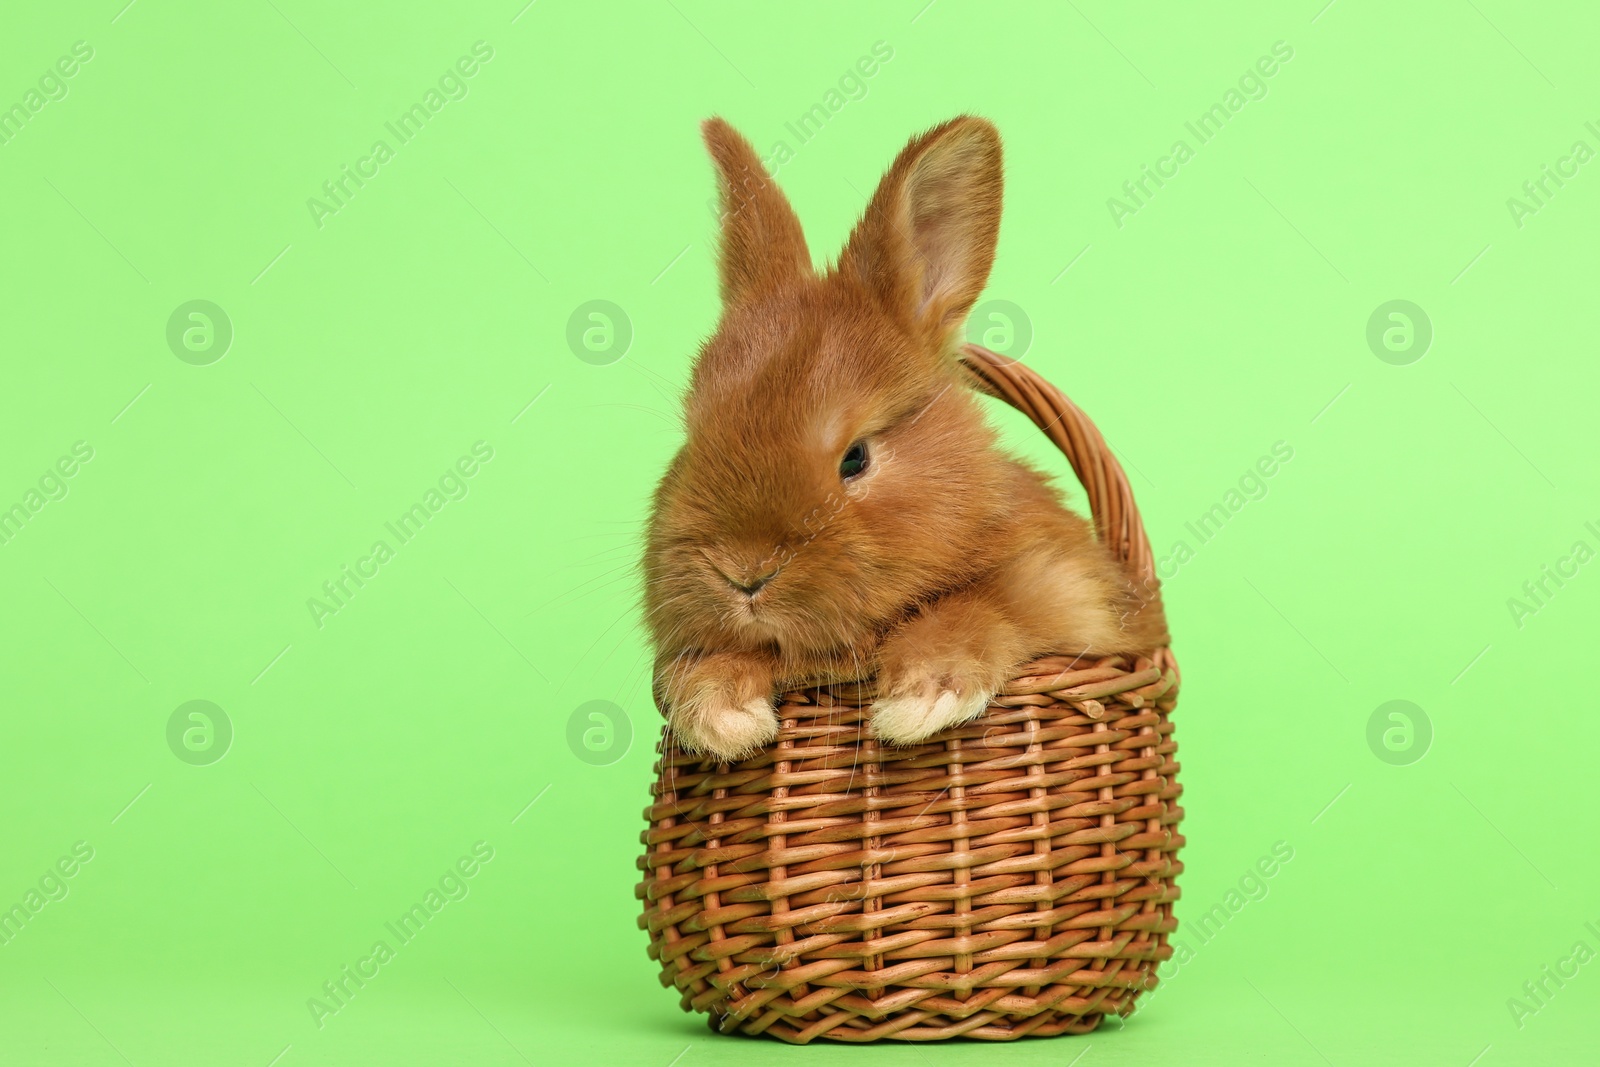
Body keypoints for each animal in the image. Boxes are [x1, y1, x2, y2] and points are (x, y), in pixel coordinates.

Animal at [640, 115, 1164, 758]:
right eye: (691, 439)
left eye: (856, 458)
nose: (745, 573)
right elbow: (708, 664)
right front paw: (724, 719)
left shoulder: (1065, 594)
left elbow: (976, 609)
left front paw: (920, 700)